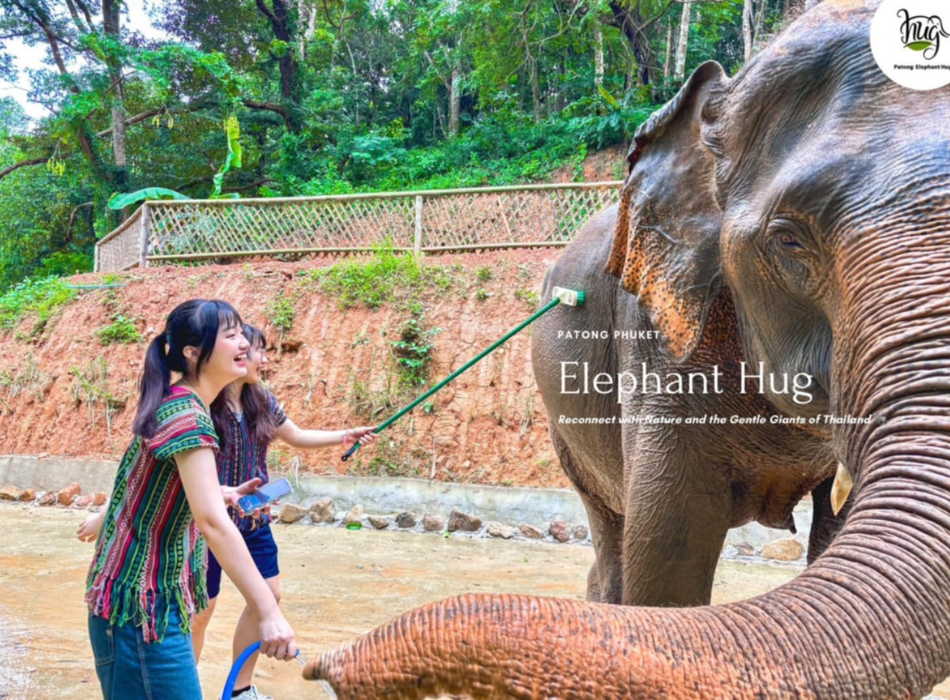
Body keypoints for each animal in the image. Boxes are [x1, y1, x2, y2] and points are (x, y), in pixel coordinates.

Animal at [303, 1, 950, 696]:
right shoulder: (655, 340)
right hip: (569, 436)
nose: (316, 664)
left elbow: (834, 528)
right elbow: (668, 549)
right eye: (788, 240)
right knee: (613, 541)